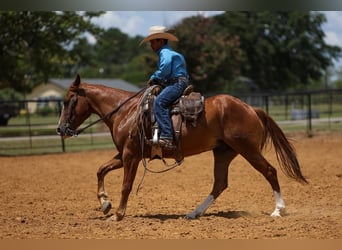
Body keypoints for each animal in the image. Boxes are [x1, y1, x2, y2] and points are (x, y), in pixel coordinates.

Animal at [55, 74, 308, 221]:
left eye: (67, 102)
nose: (60, 129)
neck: (124, 111)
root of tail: (251, 108)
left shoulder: (130, 155)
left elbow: (126, 185)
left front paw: (117, 214)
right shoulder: (124, 154)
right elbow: (100, 169)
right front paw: (105, 203)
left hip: (248, 150)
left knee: (270, 172)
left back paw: (278, 210)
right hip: (223, 152)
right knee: (220, 183)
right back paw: (194, 213)